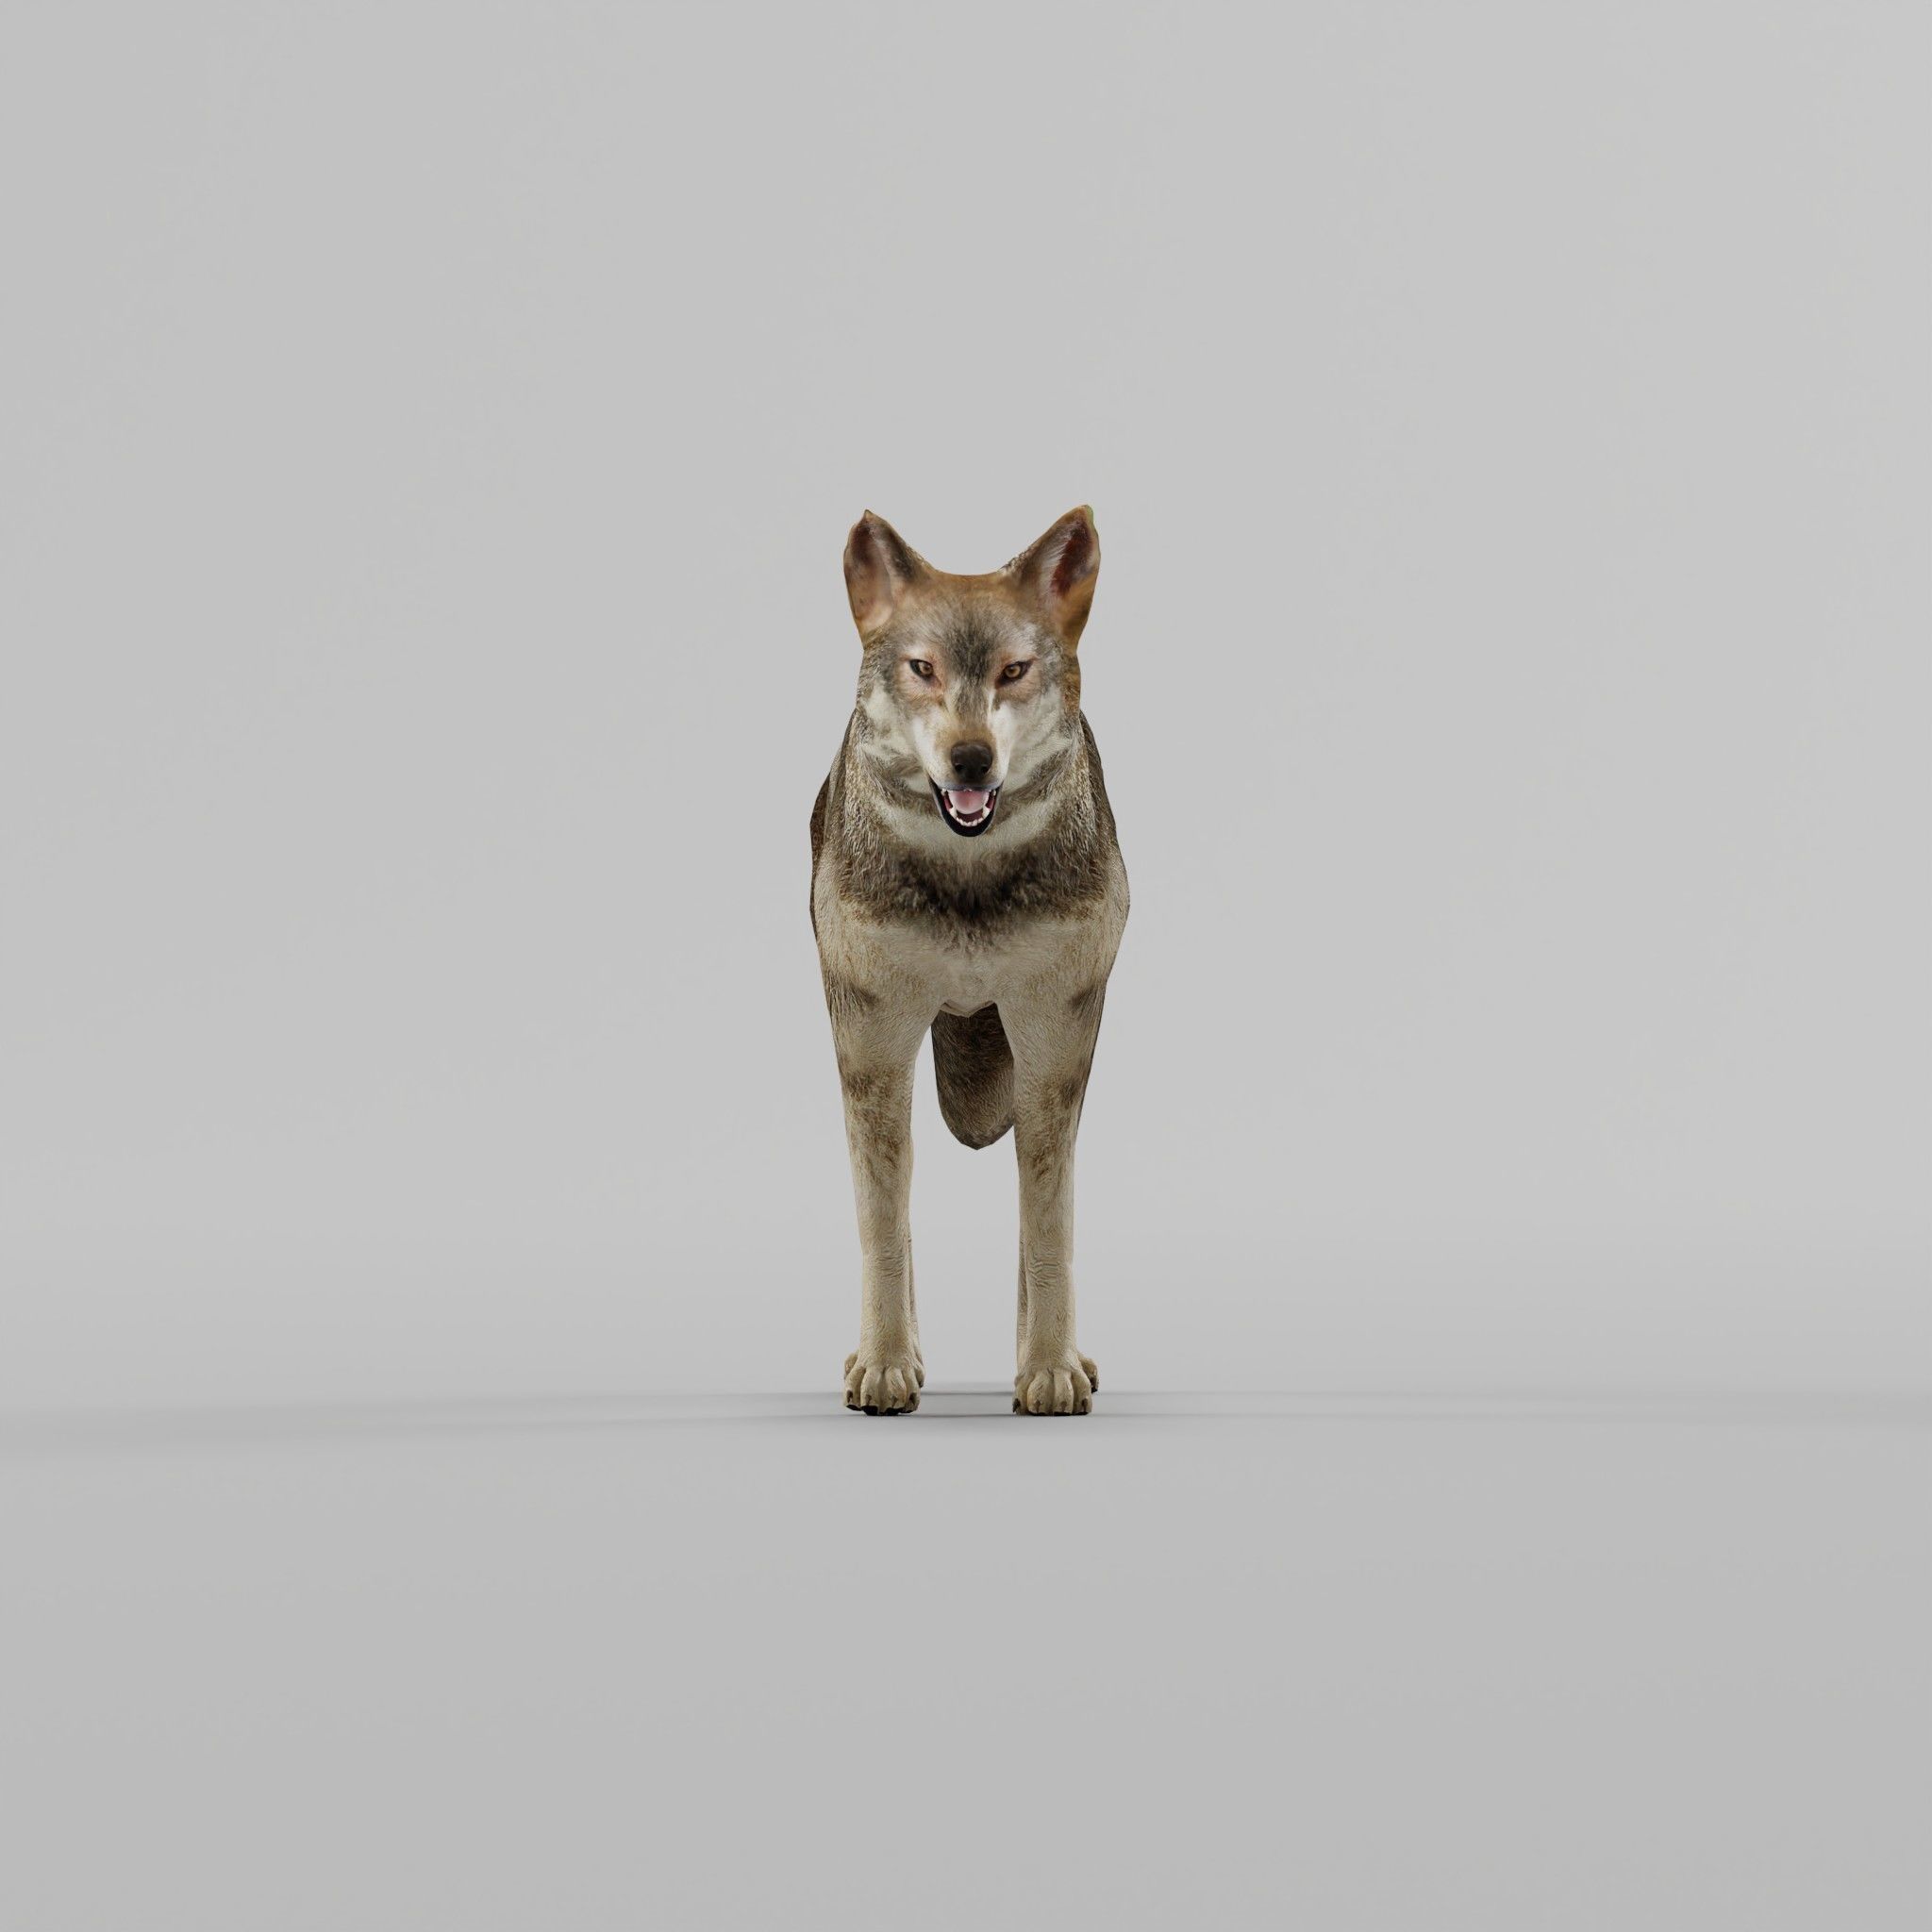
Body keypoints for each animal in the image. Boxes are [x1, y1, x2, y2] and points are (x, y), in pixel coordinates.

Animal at [810, 506, 1128, 1415]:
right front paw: (885, 1367)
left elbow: (1047, 1227)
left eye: (1014, 671)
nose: (972, 760)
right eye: (923, 669)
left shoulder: (1054, 1040)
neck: (969, 886)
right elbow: (884, 1226)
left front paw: (1050, 1371)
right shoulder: (872, 1039)